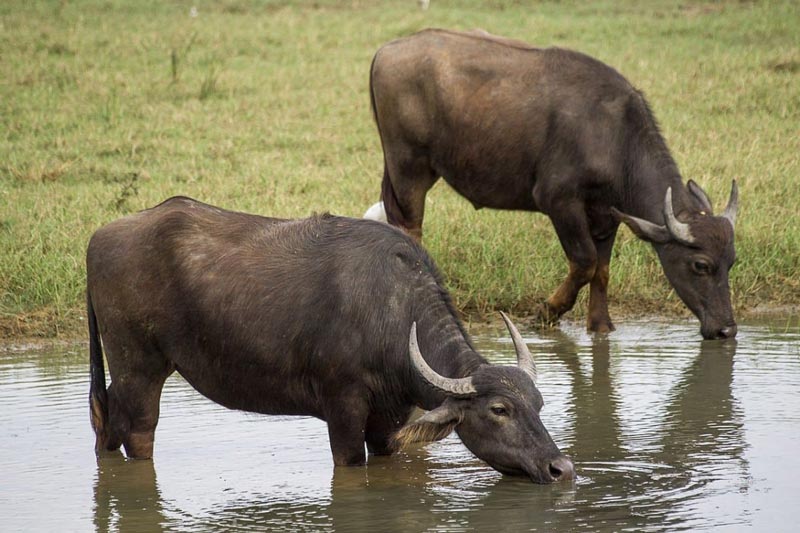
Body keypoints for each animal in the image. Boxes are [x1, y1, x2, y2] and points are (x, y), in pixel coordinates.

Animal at [87, 195, 576, 482]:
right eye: (499, 410)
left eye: (538, 404)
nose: (562, 468)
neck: (391, 315)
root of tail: (100, 237)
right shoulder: (342, 409)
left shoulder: (389, 420)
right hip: (140, 367)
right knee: (138, 432)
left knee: (106, 419)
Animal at [368, 28, 736, 336]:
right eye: (701, 265)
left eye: (731, 262)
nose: (726, 330)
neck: (616, 137)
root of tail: (387, 50)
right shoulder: (560, 202)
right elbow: (585, 262)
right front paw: (547, 312)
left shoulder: (607, 215)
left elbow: (602, 270)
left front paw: (600, 326)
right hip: (408, 167)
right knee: (409, 228)